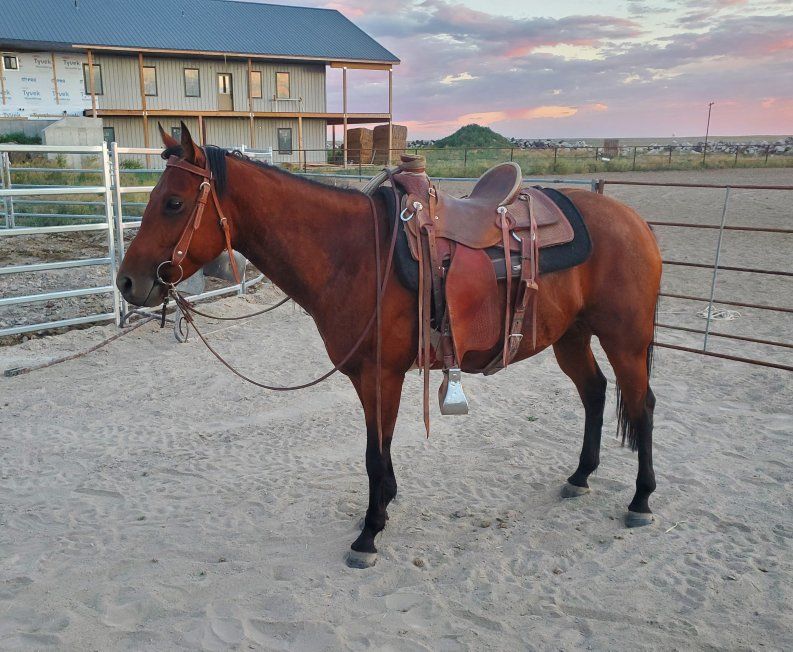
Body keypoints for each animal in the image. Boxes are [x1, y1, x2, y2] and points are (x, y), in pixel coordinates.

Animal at [117, 124, 662, 568]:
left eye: (173, 203)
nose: (126, 282)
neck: (355, 253)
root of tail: (634, 220)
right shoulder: (368, 377)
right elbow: (376, 448)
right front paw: (385, 503)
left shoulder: (382, 374)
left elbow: (375, 454)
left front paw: (369, 533)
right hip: (571, 336)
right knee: (595, 392)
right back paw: (581, 476)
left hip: (625, 339)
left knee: (641, 403)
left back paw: (640, 500)